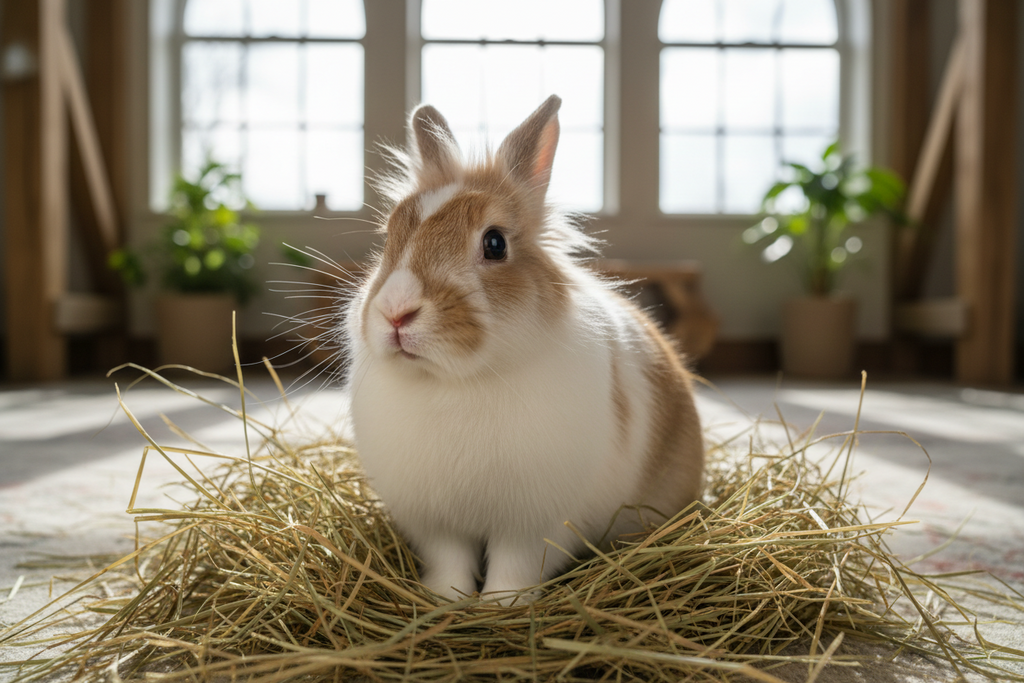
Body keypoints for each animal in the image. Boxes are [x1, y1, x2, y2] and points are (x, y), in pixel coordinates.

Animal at [344, 95, 704, 605]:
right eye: (390, 237)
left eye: (495, 243)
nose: (395, 313)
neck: (458, 382)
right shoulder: (437, 523)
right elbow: (449, 561)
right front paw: (446, 601)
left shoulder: (535, 524)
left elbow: (514, 567)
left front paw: (499, 607)